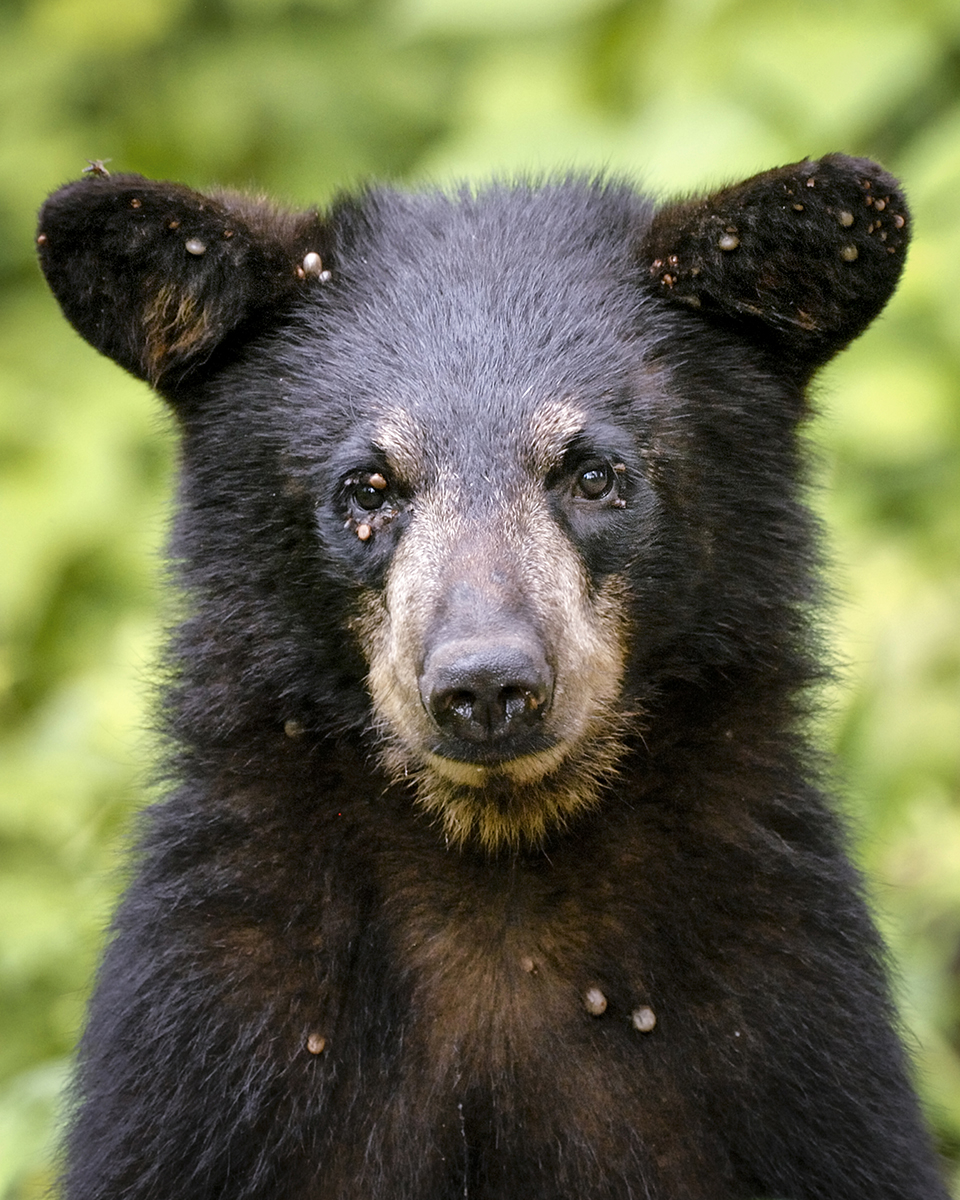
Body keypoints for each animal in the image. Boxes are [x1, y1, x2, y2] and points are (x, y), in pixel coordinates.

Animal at [37, 155, 948, 1200]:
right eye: (367, 488)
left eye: (593, 475)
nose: (485, 687)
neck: (495, 880)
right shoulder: (211, 1051)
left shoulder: (787, 1044)